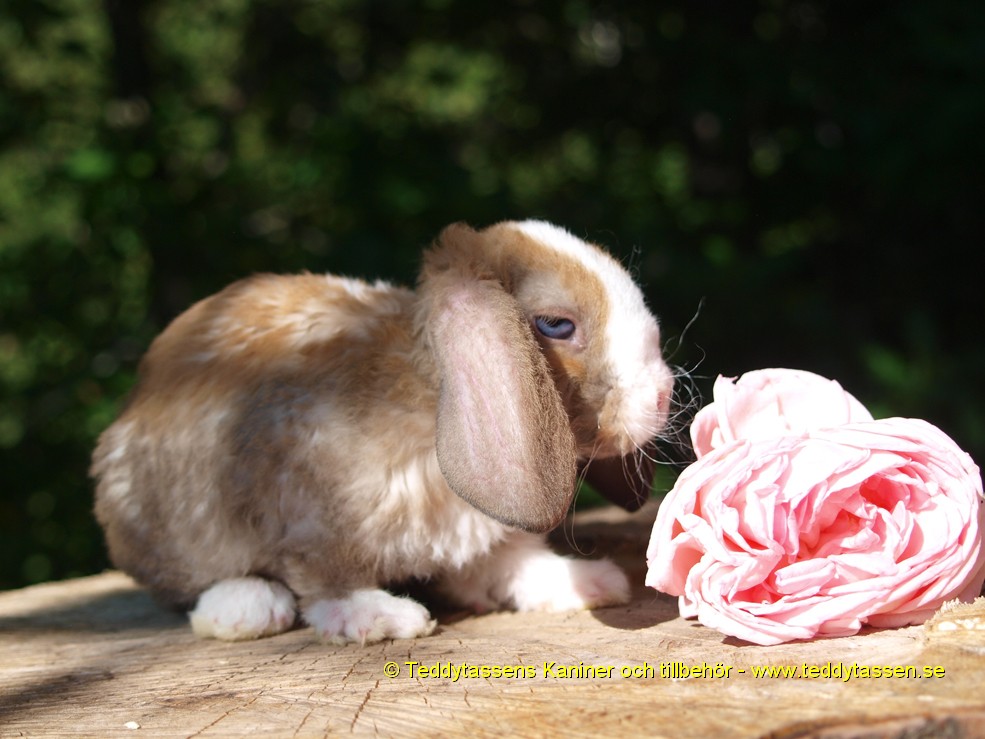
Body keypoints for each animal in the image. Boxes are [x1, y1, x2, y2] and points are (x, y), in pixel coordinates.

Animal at [92, 218, 672, 640]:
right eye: (556, 325)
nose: (664, 394)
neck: (431, 406)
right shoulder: (308, 518)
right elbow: (327, 583)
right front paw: (382, 618)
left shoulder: (483, 536)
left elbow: (515, 564)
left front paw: (589, 582)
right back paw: (246, 609)